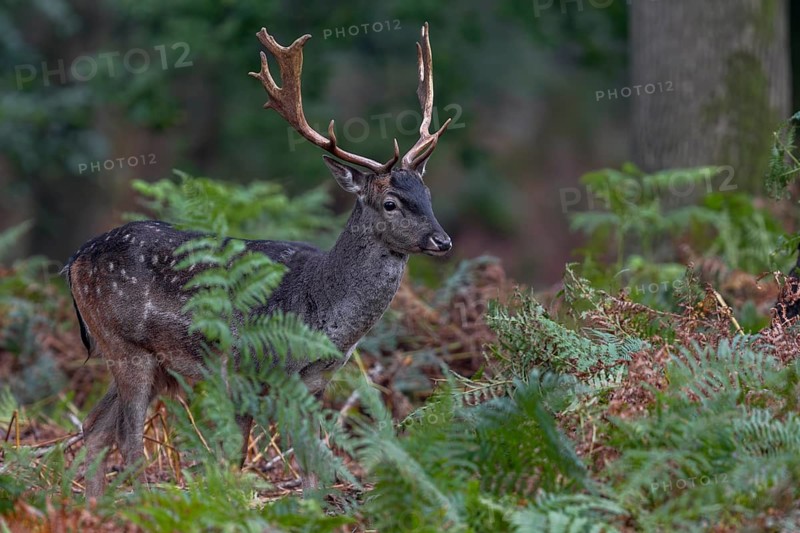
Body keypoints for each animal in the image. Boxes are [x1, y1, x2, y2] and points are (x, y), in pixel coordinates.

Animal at [63, 22, 453, 499]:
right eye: (391, 203)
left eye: (427, 194)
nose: (442, 240)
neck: (322, 308)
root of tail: (74, 261)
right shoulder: (244, 368)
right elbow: (236, 455)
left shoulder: (314, 380)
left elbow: (312, 464)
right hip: (126, 346)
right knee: (127, 437)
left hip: (142, 359)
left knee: (94, 427)